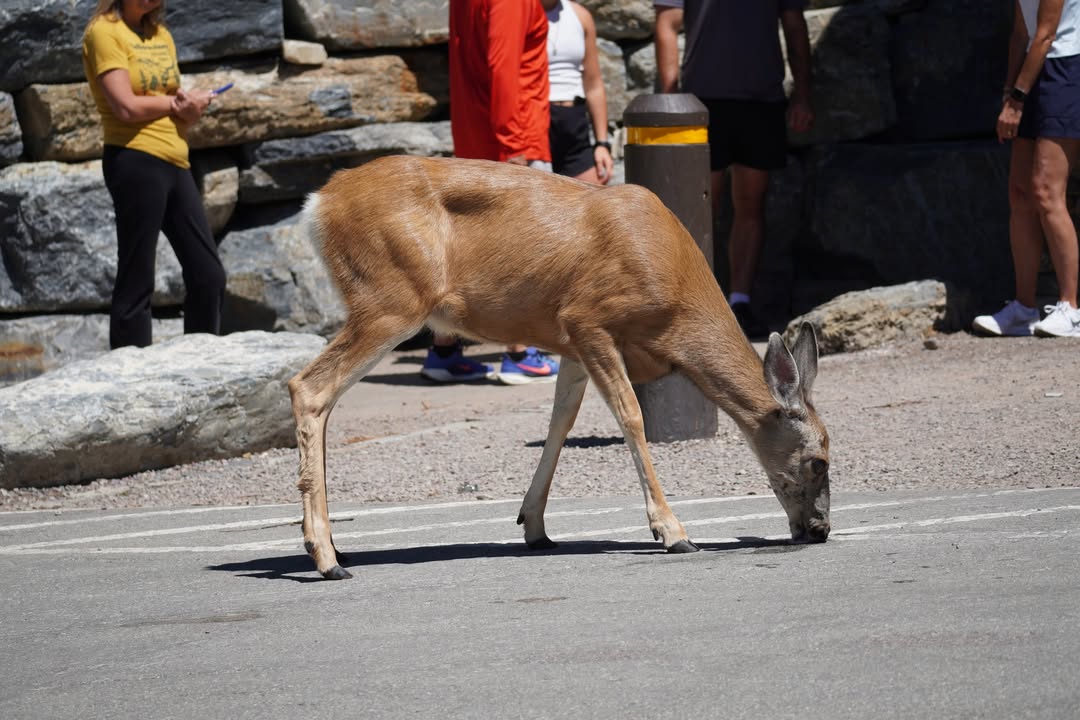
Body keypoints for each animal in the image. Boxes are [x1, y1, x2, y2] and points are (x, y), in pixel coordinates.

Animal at [288, 155, 831, 580]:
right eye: (819, 460)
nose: (821, 529)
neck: (676, 305)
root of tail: (318, 204)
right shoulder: (589, 317)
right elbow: (630, 415)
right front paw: (673, 531)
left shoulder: (568, 343)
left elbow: (560, 422)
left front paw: (534, 526)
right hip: (391, 300)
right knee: (307, 387)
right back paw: (326, 560)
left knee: (323, 400)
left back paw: (334, 547)